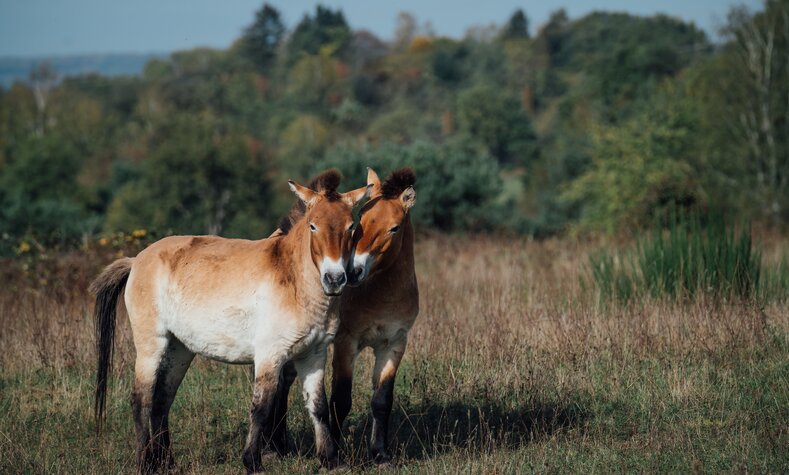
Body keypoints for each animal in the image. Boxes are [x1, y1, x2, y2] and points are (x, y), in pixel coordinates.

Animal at [90, 172, 370, 475]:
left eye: (351, 226)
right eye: (313, 226)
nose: (335, 279)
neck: (294, 280)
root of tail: (137, 260)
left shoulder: (313, 355)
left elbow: (318, 406)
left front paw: (331, 460)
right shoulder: (270, 355)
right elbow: (261, 408)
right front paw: (253, 462)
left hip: (179, 349)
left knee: (162, 399)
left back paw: (167, 463)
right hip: (151, 345)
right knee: (141, 399)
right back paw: (145, 463)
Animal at [270, 167, 418, 464]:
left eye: (394, 228)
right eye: (361, 221)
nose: (352, 272)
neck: (380, 293)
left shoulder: (394, 345)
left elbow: (382, 400)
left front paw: (380, 453)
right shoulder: (346, 343)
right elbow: (340, 399)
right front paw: (335, 451)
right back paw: (275, 446)